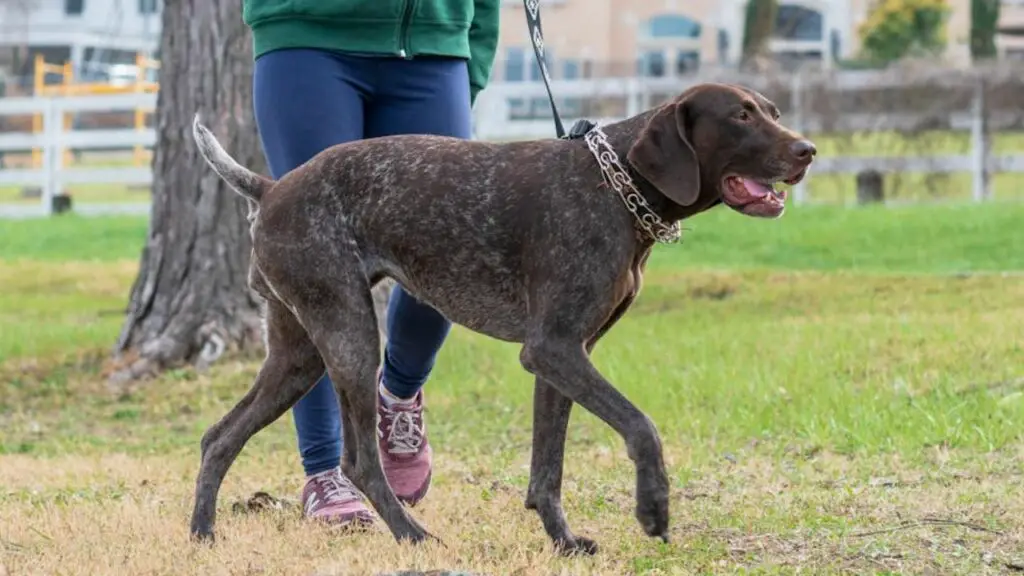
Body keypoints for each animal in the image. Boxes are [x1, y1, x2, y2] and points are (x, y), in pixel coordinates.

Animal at [188, 83, 815, 553]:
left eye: (774, 113)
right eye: (740, 116)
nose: (808, 150)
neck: (617, 187)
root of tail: (270, 188)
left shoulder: (564, 358)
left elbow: (548, 469)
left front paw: (563, 542)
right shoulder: (554, 349)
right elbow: (641, 425)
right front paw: (653, 507)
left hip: (298, 354)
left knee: (219, 437)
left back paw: (202, 535)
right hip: (350, 337)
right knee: (360, 460)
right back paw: (413, 536)